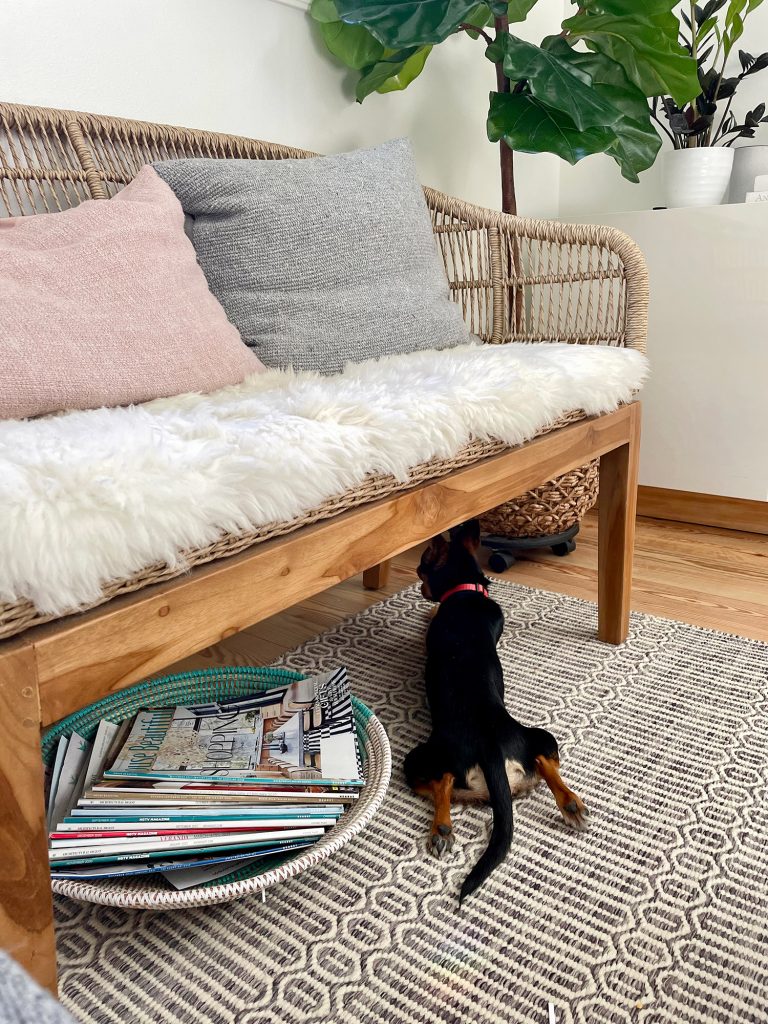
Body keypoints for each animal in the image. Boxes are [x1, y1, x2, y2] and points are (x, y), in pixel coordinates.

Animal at [409, 520, 589, 905]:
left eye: (421, 569)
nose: (419, 587)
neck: (466, 591)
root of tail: (490, 748)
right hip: (538, 735)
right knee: (544, 760)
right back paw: (571, 804)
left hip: (417, 760)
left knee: (444, 781)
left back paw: (441, 829)